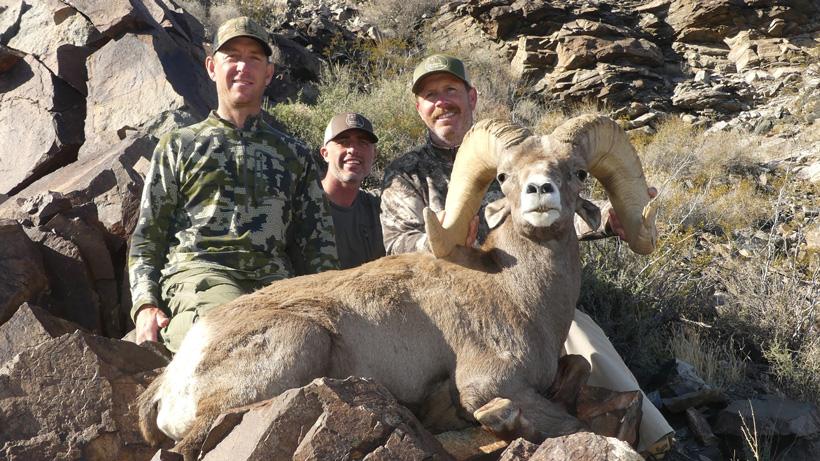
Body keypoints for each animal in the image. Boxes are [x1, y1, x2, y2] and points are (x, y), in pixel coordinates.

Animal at [137, 114, 657, 459]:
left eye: (577, 172)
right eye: (505, 176)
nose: (540, 193)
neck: (519, 294)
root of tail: (168, 382)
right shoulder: (491, 383)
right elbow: (559, 420)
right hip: (302, 339)